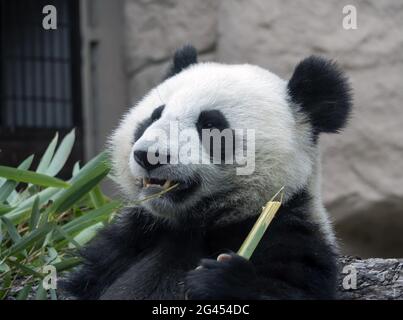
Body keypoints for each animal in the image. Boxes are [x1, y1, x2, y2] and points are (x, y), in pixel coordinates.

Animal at [64, 45, 354, 300]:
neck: (197, 223)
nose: (149, 155)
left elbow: (290, 287)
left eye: (211, 125)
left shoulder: (290, 234)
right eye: (154, 116)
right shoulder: (130, 239)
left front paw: (219, 279)